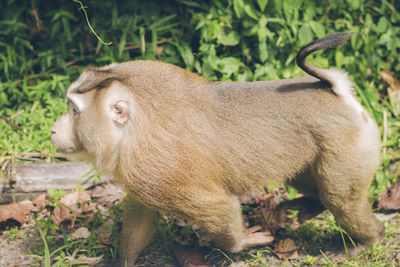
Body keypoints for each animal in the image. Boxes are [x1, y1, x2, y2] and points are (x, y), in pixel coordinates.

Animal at [51, 33, 382, 266]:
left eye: (74, 111)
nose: (54, 129)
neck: (133, 128)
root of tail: (335, 93)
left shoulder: (160, 173)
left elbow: (219, 207)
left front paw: (240, 245)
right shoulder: (143, 174)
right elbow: (141, 214)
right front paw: (124, 260)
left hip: (348, 144)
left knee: (340, 198)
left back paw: (366, 240)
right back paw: (307, 206)